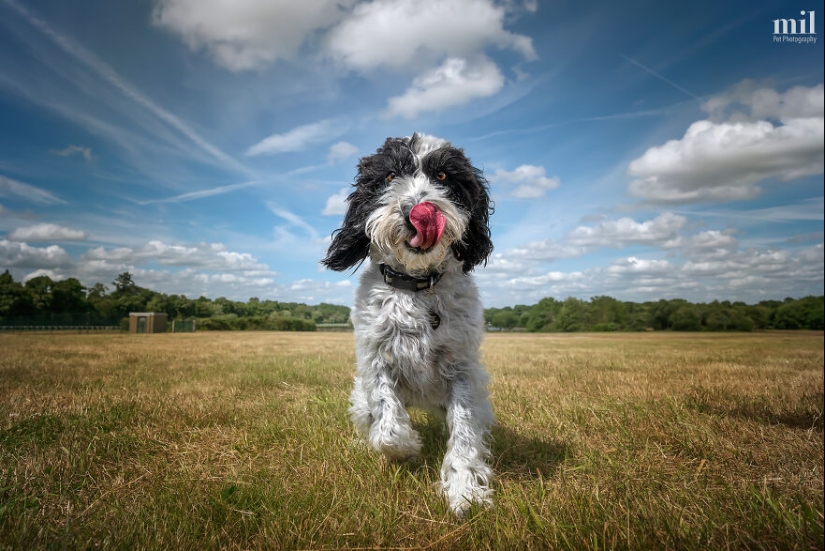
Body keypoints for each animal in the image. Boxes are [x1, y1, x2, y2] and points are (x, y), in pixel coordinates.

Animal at [322, 134, 492, 516]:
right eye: (389, 177)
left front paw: (463, 487)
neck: (417, 287)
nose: (418, 211)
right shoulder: (376, 361)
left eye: (442, 176)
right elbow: (387, 423)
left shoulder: (463, 372)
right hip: (359, 397)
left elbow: (464, 431)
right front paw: (406, 447)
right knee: (369, 418)